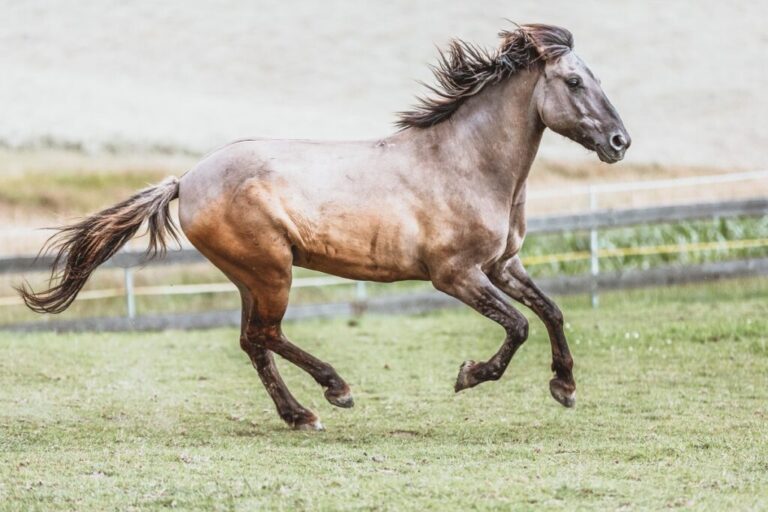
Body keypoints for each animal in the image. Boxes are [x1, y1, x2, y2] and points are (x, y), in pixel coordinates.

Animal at [18, 25, 632, 432]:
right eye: (574, 82)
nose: (620, 142)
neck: (465, 163)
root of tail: (185, 180)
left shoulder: (502, 266)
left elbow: (551, 311)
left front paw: (564, 387)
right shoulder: (456, 275)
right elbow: (518, 326)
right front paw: (469, 375)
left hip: (251, 277)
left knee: (253, 341)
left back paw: (299, 414)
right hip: (272, 270)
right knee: (265, 335)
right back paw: (336, 391)